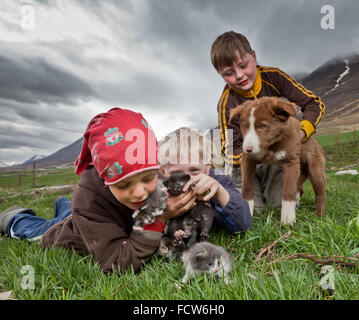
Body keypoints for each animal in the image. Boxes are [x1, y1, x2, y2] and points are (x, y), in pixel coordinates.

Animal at [231, 97, 326, 225]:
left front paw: (288, 220)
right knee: (299, 188)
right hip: (301, 171)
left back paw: (320, 217)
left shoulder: (291, 161)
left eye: (262, 126)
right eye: (244, 126)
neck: (271, 145)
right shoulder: (248, 160)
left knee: (320, 193)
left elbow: (288, 190)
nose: (247, 149)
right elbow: (246, 187)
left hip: (315, 170)